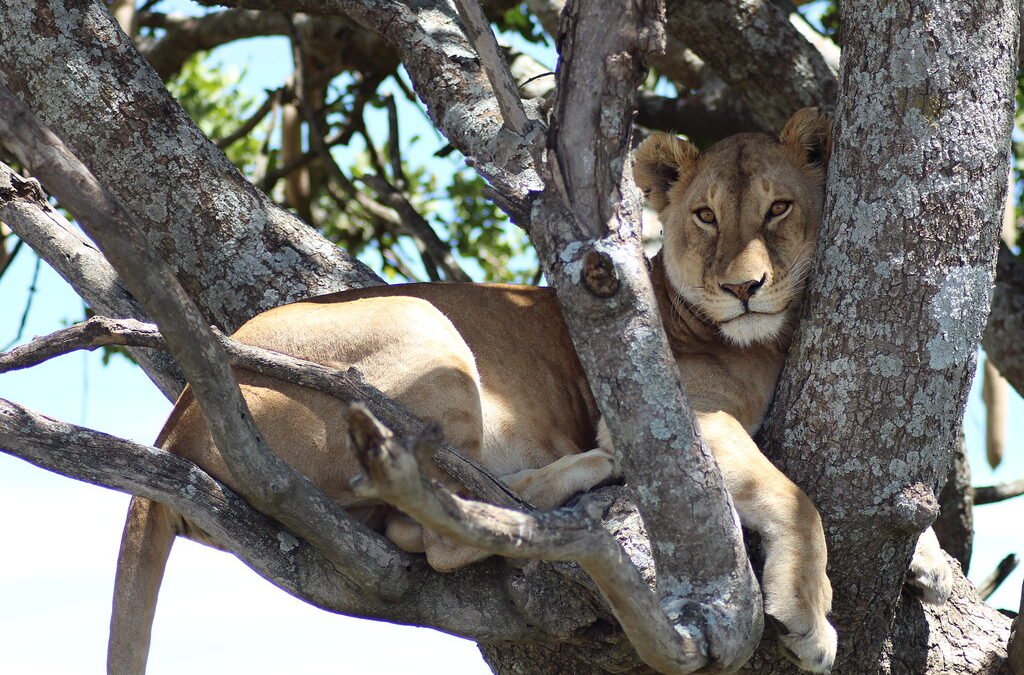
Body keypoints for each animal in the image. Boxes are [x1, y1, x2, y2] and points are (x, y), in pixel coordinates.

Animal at [108, 108, 949, 674]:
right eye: (706, 215)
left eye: (779, 207)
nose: (743, 287)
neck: (753, 340)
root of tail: (180, 418)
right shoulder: (673, 420)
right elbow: (793, 494)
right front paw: (808, 611)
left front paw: (933, 563)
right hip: (427, 329)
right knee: (434, 531)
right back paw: (585, 480)